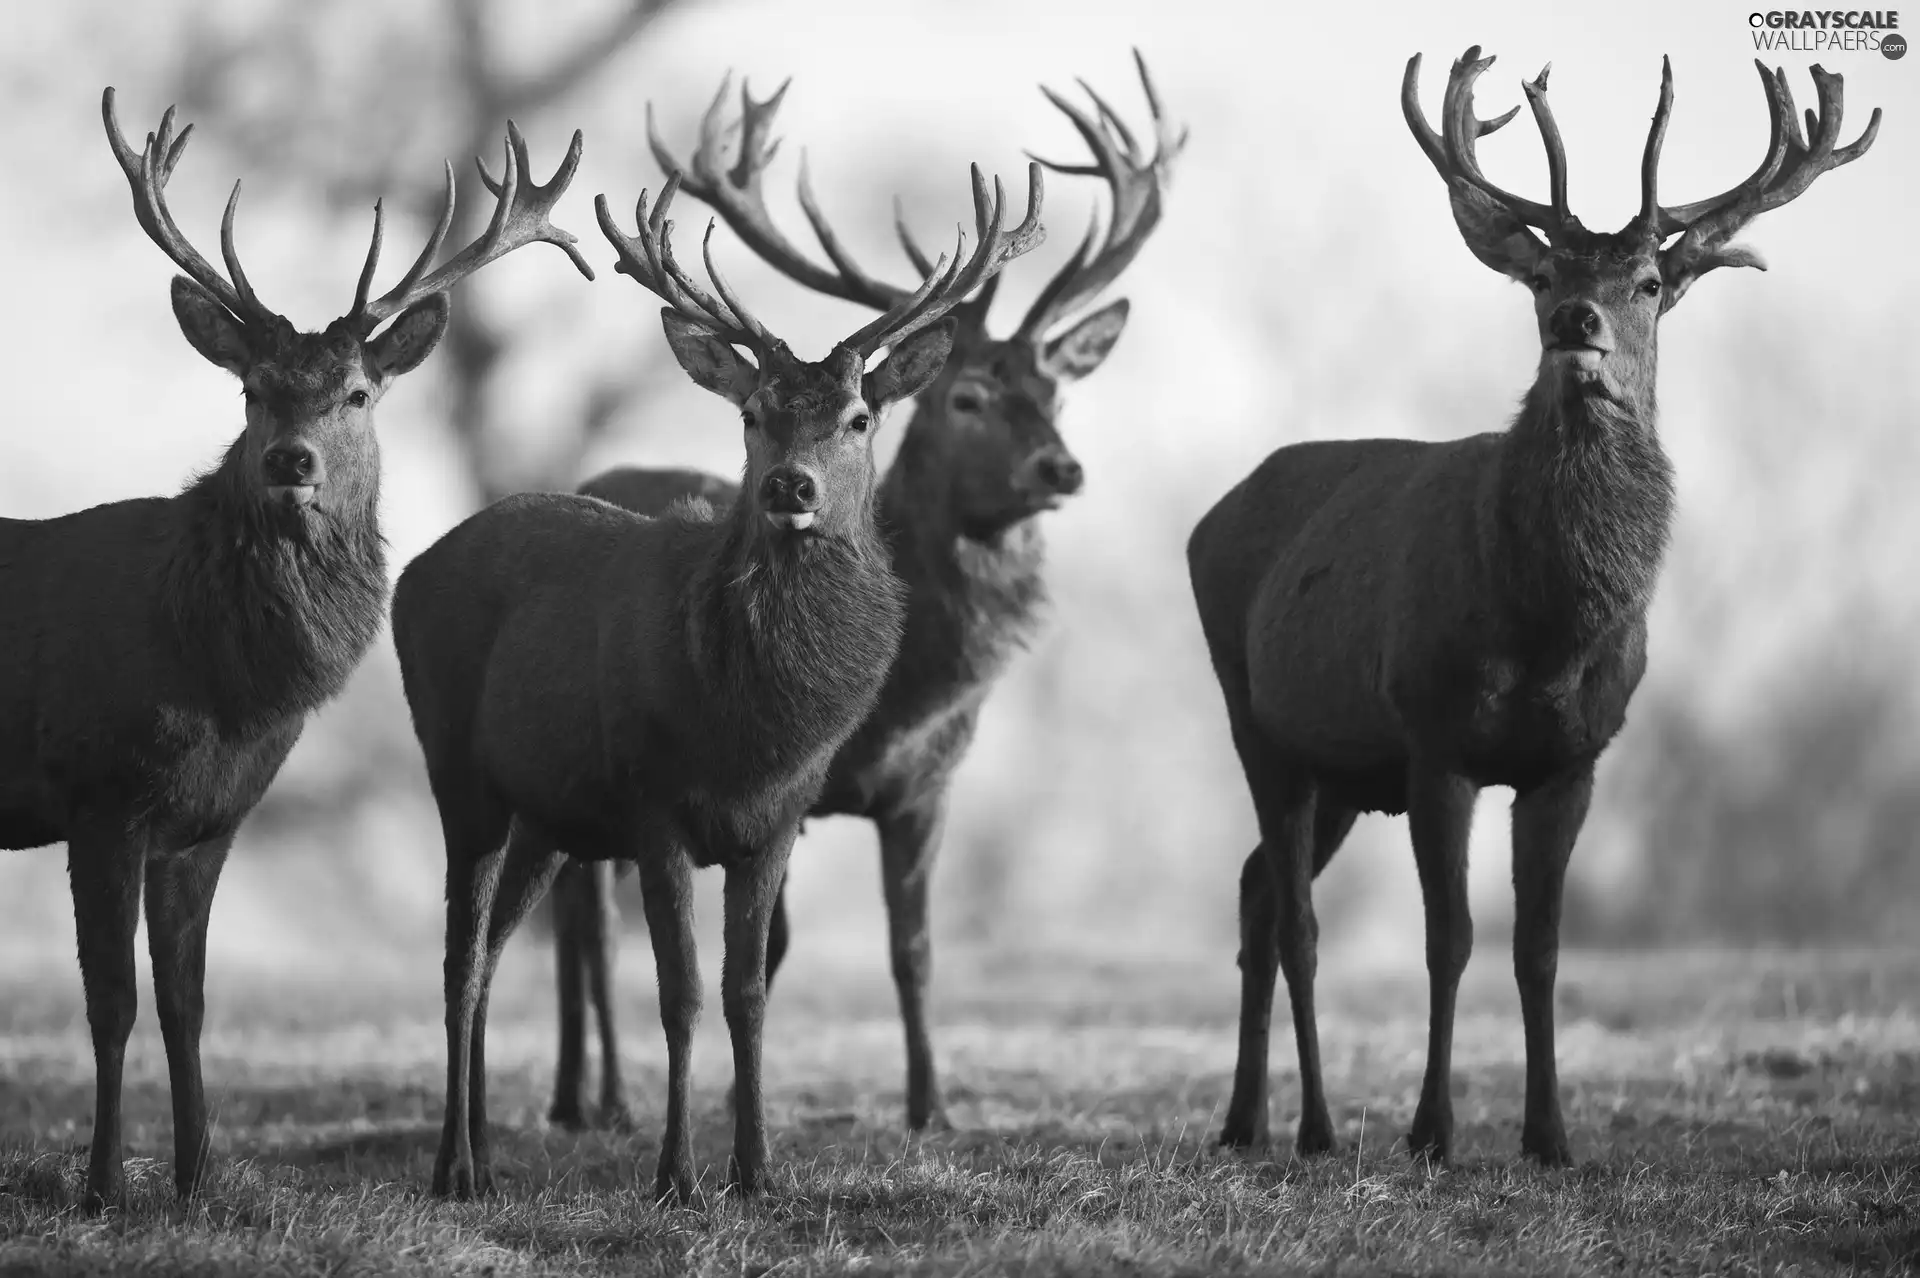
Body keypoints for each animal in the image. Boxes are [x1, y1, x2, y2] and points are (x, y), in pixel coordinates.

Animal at [0, 89, 587, 1205]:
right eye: (252, 389)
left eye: (358, 392)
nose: (291, 461)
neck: (222, 684)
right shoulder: (100, 792)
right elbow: (112, 1003)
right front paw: (101, 1188)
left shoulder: (209, 821)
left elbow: (186, 1002)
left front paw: (195, 1181)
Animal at [387, 156, 1044, 1197]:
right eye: (752, 413)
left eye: (860, 416)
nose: (790, 487)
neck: (754, 728)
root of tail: (412, 570)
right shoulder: (654, 801)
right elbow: (682, 991)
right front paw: (676, 1176)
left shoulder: (778, 816)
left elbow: (748, 990)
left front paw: (759, 1170)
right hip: (459, 773)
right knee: (460, 960)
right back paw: (458, 1166)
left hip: (547, 814)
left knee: (492, 956)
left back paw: (488, 1145)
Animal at [541, 49, 1182, 1128]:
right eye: (966, 397)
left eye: (1056, 391)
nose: (1061, 467)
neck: (910, 695)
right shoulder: (779, 788)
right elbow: (770, 950)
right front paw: (738, 1105)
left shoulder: (929, 786)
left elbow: (911, 950)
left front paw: (932, 1108)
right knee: (582, 919)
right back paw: (594, 1100)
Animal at [1182, 49, 1873, 1166]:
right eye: (1545, 276)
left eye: (1648, 282)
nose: (1574, 324)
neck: (1549, 626)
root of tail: (1209, 518)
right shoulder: (1435, 740)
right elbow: (1449, 939)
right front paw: (1431, 1131)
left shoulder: (1573, 758)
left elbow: (1541, 949)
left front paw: (1550, 1134)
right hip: (1258, 719)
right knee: (1296, 921)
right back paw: (1316, 1127)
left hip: (1341, 768)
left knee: (1253, 894)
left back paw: (1244, 1122)